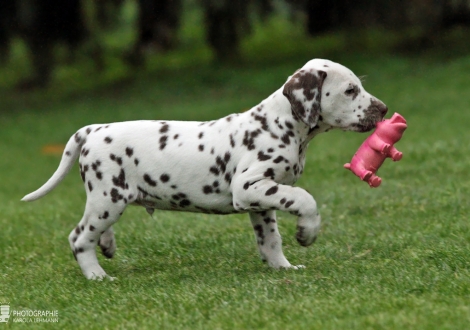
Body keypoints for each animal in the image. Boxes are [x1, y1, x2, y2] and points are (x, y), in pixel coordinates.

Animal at [22, 58, 388, 278]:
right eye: (350, 90)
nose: (384, 109)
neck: (280, 124)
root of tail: (93, 130)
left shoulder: (261, 200)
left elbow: (270, 240)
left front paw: (283, 268)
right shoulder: (249, 187)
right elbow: (305, 199)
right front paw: (307, 232)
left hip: (107, 201)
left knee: (94, 229)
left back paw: (107, 246)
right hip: (107, 198)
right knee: (79, 237)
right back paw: (96, 274)